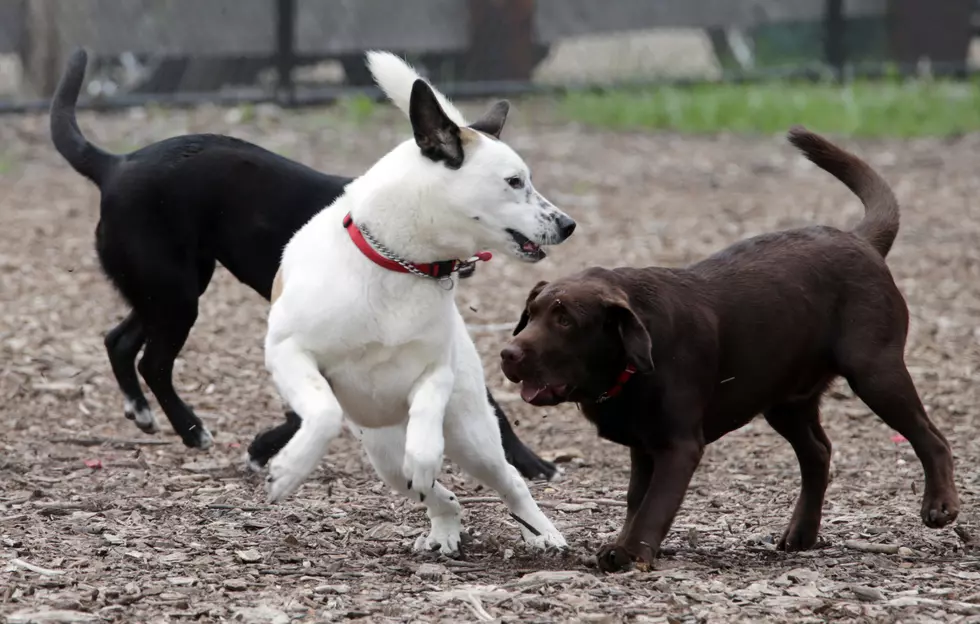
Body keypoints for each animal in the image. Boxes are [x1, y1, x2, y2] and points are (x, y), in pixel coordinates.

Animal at [49, 48, 556, 480]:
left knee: (118, 340)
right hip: (174, 295)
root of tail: (116, 164)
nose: (566, 224)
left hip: (170, 288)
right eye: (514, 182)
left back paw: (142, 412)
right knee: (153, 361)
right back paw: (192, 430)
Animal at [264, 51, 580, 552]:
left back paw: (541, 532)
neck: (400, 265)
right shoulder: (287, 352)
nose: (568, 224)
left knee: (506, 479)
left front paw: (427, 453)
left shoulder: (436, 370)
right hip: (384, 455)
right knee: (435, 493)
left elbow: (429, 410)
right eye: (514, 181)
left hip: (471, 436)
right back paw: (445, 528)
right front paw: (290, 469)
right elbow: (324, 411)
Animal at [502, 127, 960, 572]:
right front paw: (623, 545)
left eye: (565, 320)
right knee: (818, 452)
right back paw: (801, 533)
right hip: (786, 399)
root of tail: (859, 240)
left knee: (931, 437)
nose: (509, 355)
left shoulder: (678, 445)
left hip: (875, 371)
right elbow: (636, 501)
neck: (633, 361)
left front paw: (633, 553)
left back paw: (939, 505)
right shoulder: (644, 445)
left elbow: (655, 505)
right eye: (531, 313)